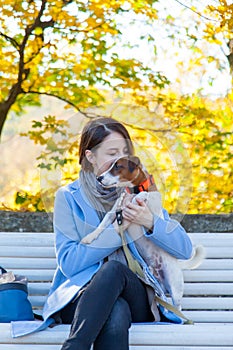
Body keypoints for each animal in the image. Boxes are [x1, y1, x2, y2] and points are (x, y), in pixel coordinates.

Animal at [81, 156, 205, 308]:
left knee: (177, 305)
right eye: (110, 165)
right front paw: (89, 237)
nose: (99, 178)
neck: (133, 189)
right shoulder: (112, 213)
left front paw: (138, 198)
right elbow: (102, 225)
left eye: (117, 166)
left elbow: (144, 196)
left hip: (175, 286)